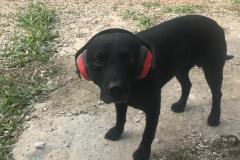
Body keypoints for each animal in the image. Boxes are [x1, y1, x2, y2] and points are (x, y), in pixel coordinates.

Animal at [74, 14, 232, 159]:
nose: (116, 89)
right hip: (180, 69)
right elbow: (120, 117)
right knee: (187, 85)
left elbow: (148, 133)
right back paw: (181, 105)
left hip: (212, 69)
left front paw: (142, 152)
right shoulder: (121, 102)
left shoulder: (153, 109)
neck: (135, 83)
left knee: (217, 93)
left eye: (130, 59)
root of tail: (215, 23)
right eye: (98, 61)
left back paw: (214, 117)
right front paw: (117, 132)